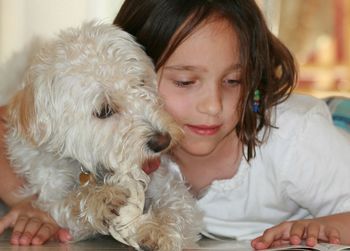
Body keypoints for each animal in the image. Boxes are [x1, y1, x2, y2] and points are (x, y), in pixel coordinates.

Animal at [3, 22, 202, 251]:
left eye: (141, 83)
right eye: (104, 110)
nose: (163, 141)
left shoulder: (166, 184)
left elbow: (178, 209)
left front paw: (159, 231)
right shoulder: (50, 197)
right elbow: (70, 202)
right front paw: (102, 198)